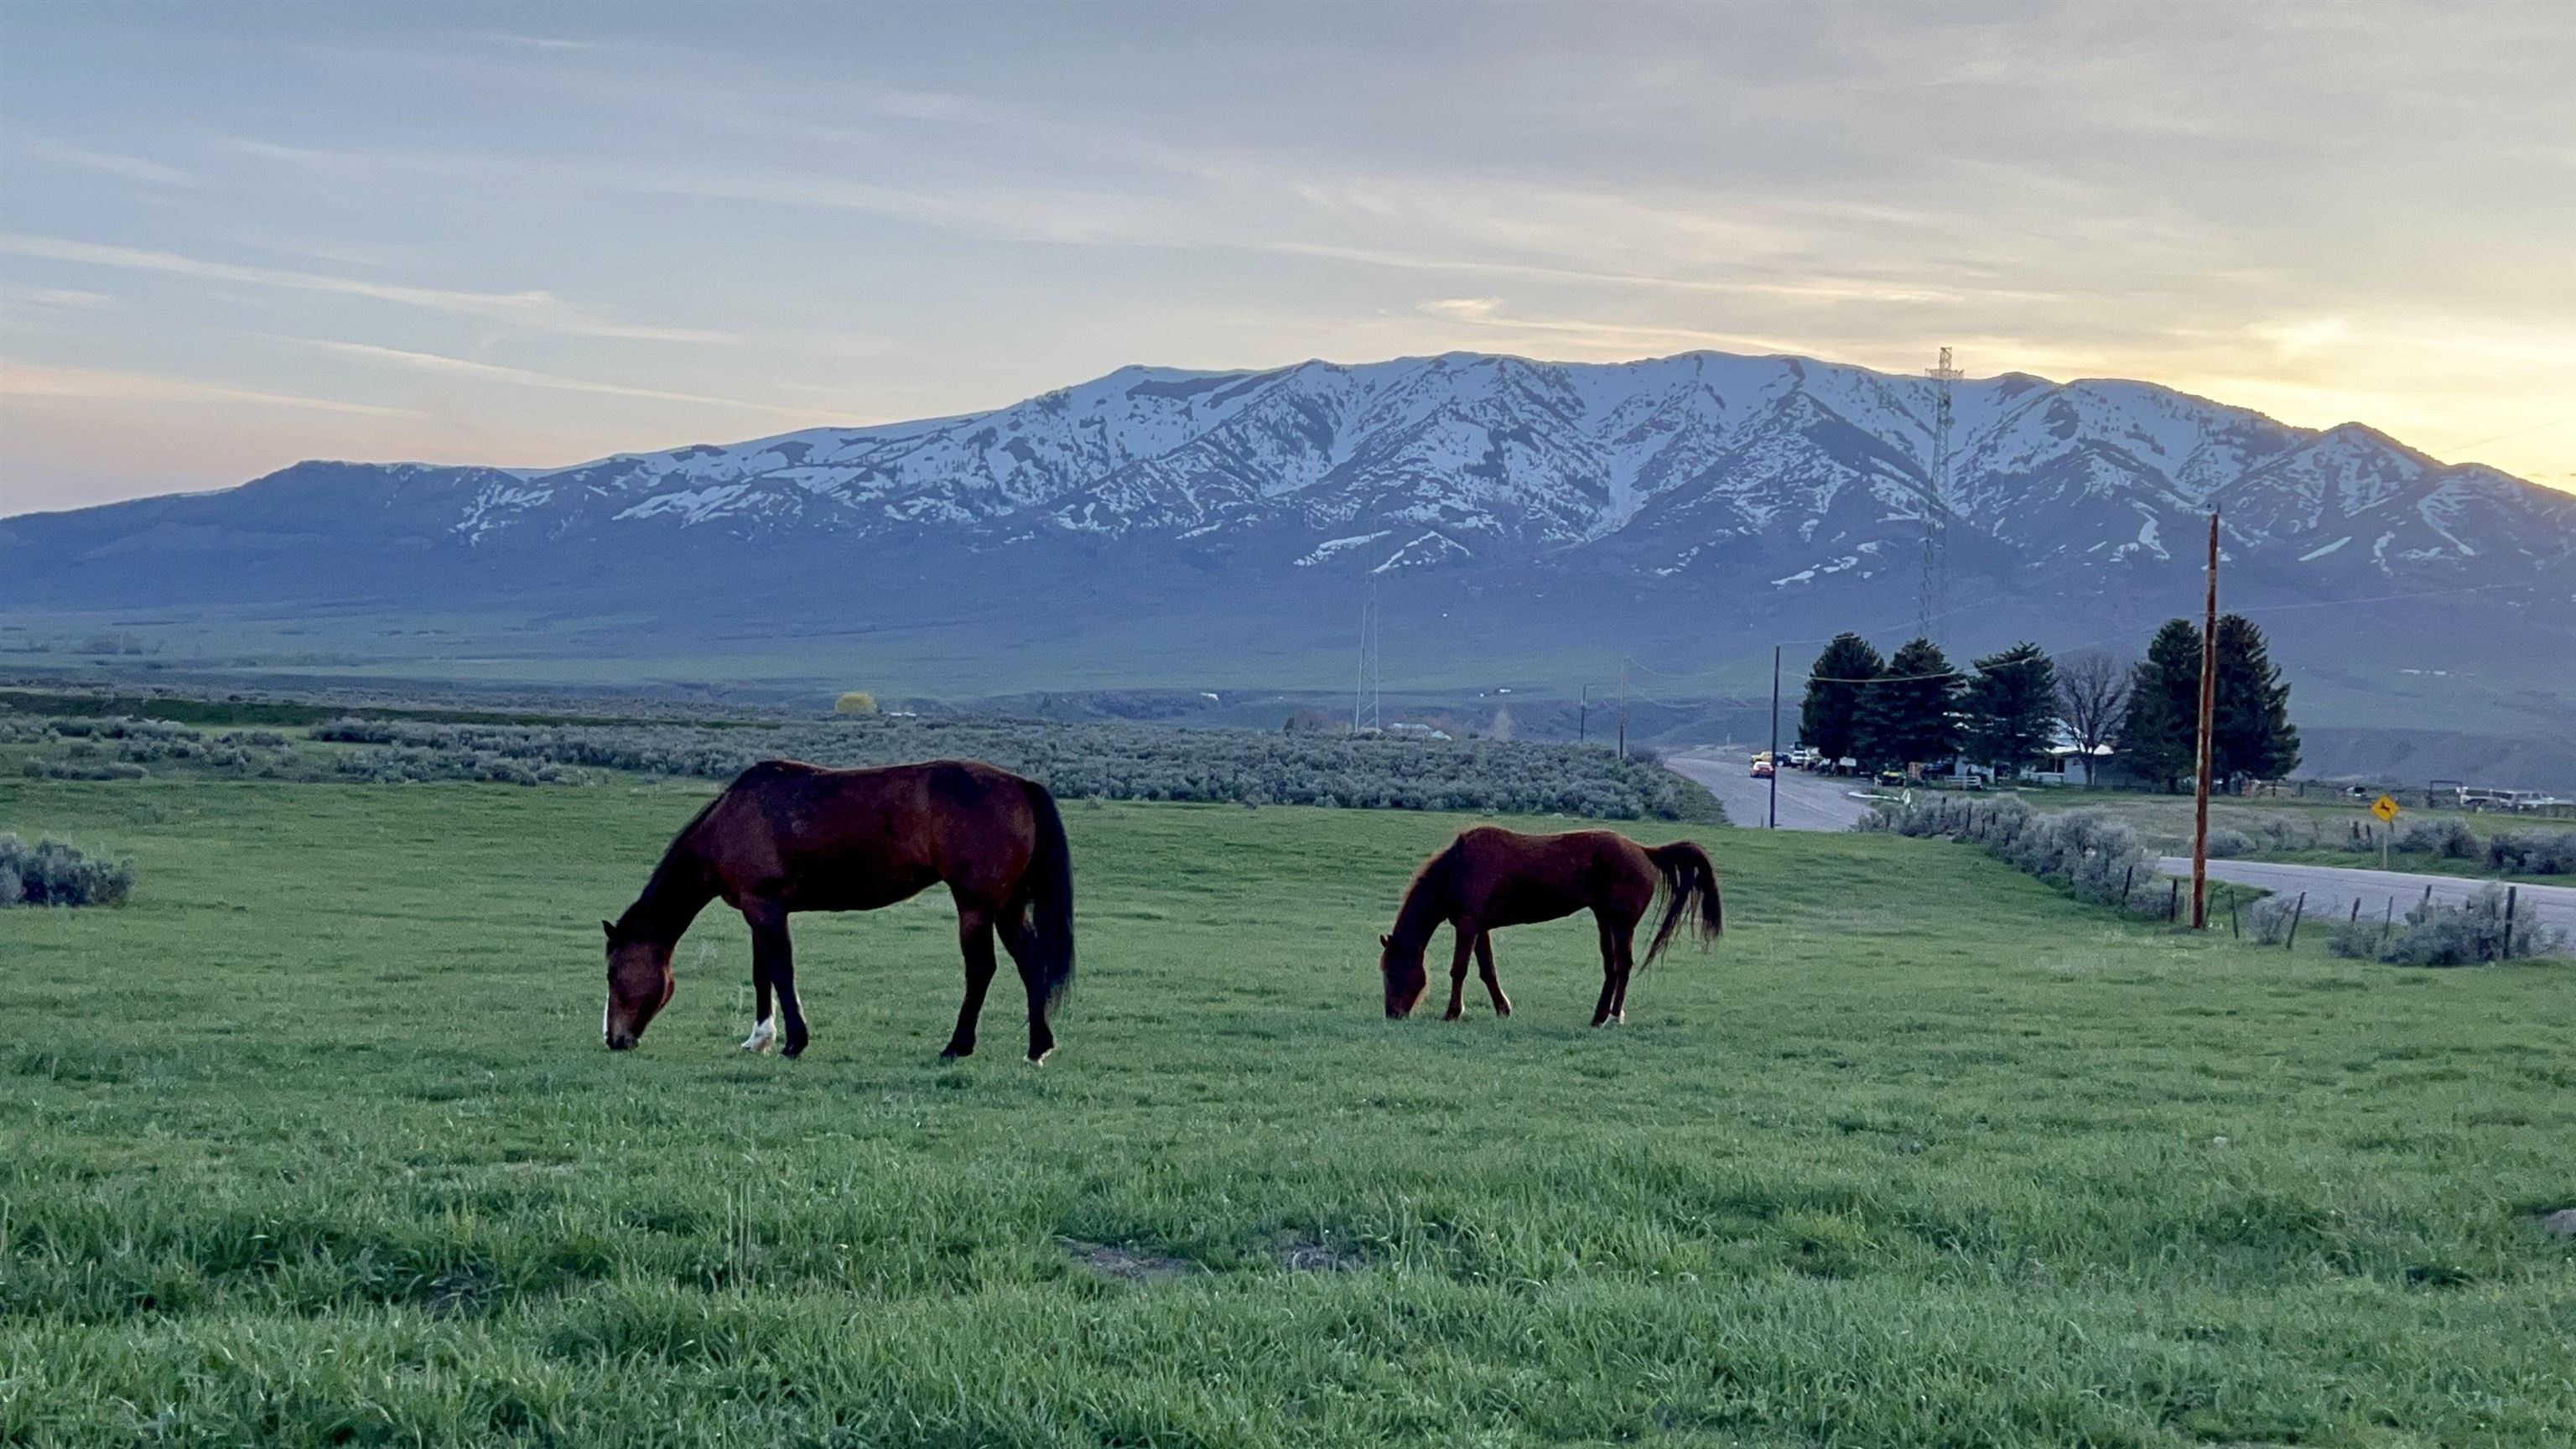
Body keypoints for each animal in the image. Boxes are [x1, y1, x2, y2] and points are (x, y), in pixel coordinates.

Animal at [602, 763, 1077, 1057]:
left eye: (612, 972)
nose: (613, 1038)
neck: (731, 819)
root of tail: (1021, 786)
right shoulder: (761, 909)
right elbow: (762, 973)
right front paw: (760, 1039)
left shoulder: (765, 908)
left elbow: (780, 970)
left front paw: (794, 1042)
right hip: (1007, 907)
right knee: (1030, 963)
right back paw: (1038, 1047)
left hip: (975, 906)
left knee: (980, 969)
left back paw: (957, 1045)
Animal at [1380, 824, 1721, 1026]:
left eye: (1392, 971)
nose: (1393, 1013)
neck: (1458, 867)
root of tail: (1644, 851)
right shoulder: (1479, 927)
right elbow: (1487, 970)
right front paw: (1503, 1009)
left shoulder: (1468, 925)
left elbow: (1459, 970)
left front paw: (1452, 1013)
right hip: (1605, 921)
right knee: (1612, 968)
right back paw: (1598, 1017)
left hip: (1621, 924)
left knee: (1623, 966)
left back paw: (1613, 1016)